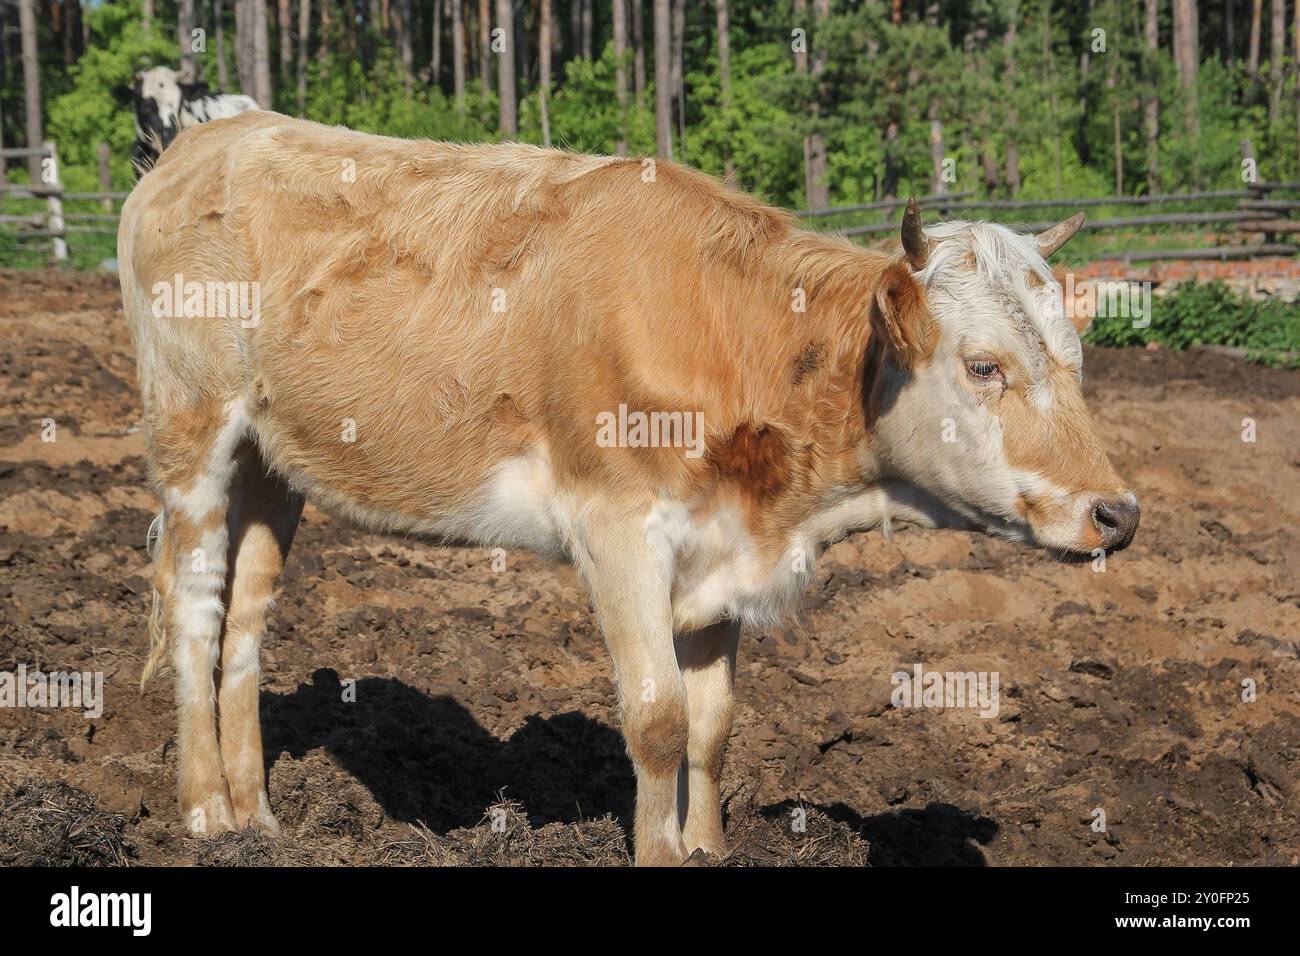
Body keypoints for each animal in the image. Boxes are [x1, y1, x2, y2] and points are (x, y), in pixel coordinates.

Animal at [122, 111, 1138, 868]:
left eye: (1078, 358)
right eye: (984, 366)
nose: (1117, 513)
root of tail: (211, 136)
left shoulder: (720, 548)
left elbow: (713, 723)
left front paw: (708, 847)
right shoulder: (615, 527)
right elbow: (656, 719)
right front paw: (660, 849)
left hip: (274, 461)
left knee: (248, 615)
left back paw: (257, 816)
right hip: (190, 424)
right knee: (197, 602)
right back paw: (205, 811)